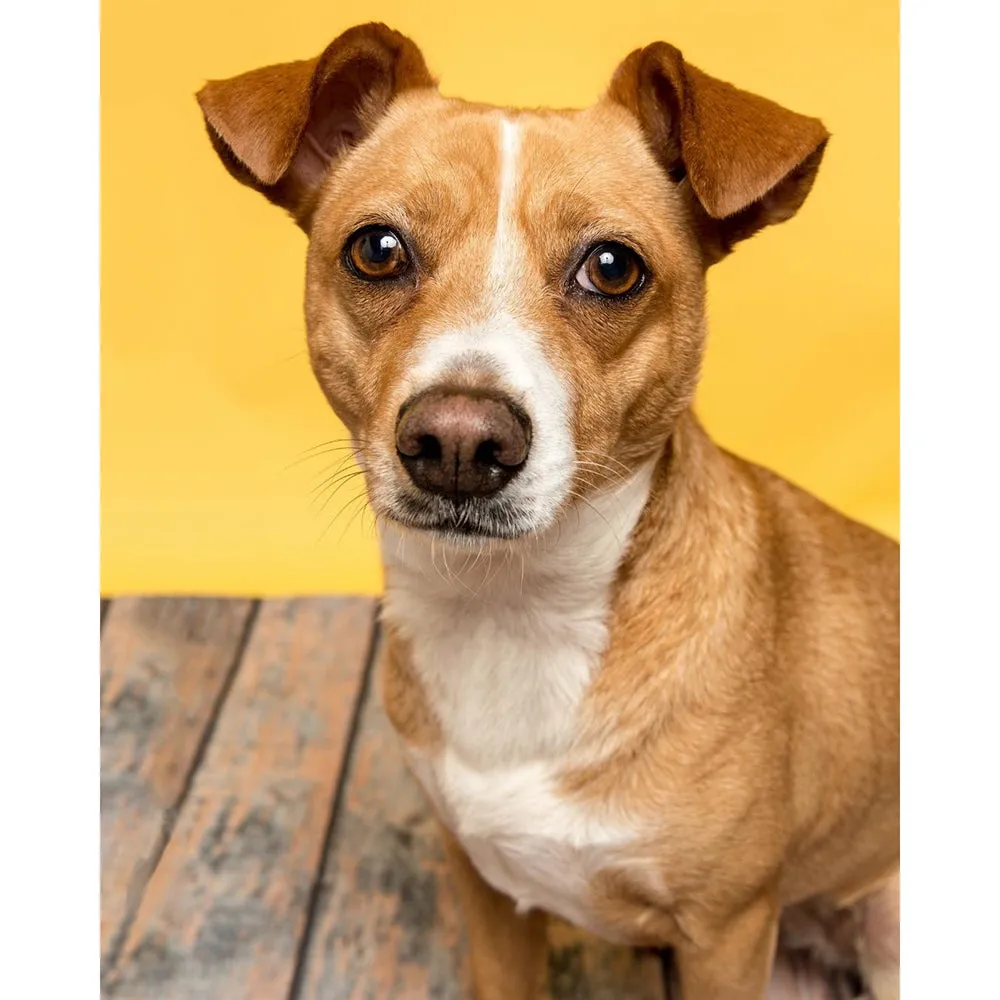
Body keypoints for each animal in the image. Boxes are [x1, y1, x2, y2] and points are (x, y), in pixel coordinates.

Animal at [195, 25, 900, 1000]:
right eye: (377, 249)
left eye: (612, 267)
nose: (459, 442)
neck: (512, 610)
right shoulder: (486, 891)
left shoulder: (725, 935)